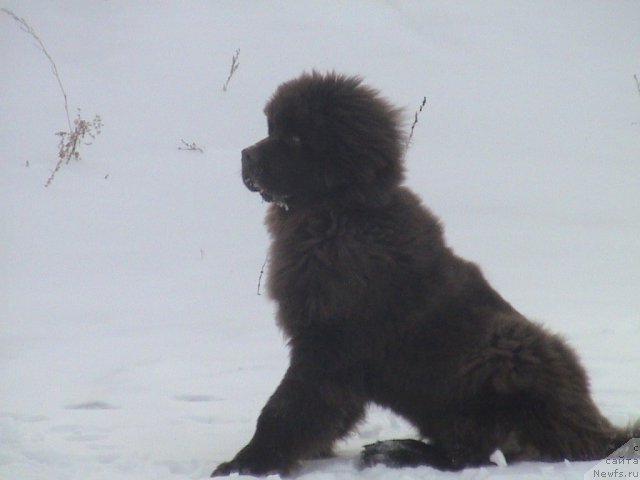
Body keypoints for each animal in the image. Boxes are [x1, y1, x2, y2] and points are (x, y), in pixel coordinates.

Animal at [212, 70, 636, 476]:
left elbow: (286, 407)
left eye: (297, 137)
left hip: (505, 348)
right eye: (272, 129)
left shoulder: (328, 344)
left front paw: (247, 464)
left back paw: (397, 451)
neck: (339, 216)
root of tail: (598, 433)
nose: (245, 156)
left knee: (476, 452)